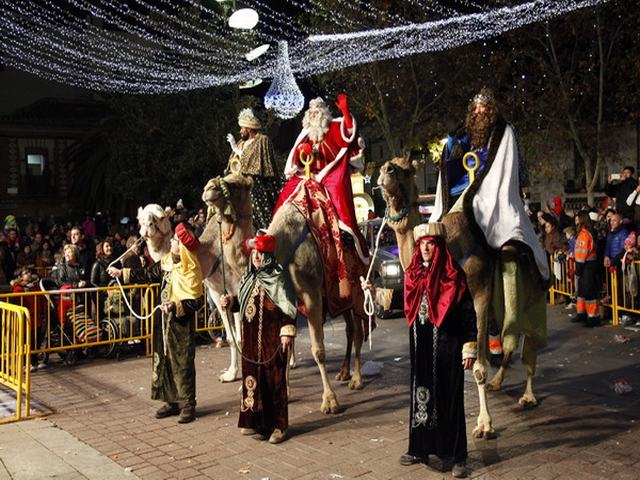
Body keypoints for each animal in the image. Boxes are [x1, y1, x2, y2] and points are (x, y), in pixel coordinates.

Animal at [378, 158, 548, 438]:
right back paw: (497, 383)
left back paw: (527, 396)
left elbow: (477, 367)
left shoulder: (479, 297)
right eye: (386, 166)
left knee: (528, 340)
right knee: (509, 340)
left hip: (529, 294)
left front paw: (485, 425)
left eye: (409, 169)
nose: (386, 171)